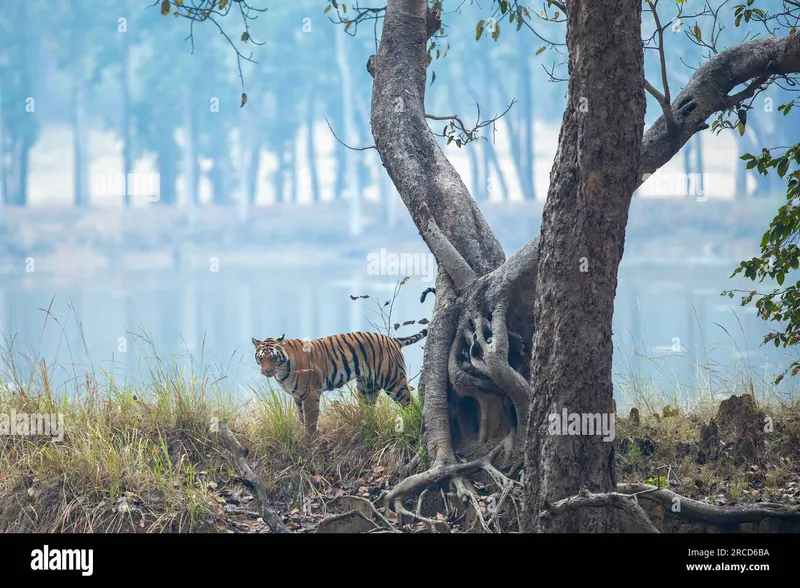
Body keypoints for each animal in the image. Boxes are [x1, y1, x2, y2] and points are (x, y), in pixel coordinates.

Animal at [252, 328, 428, 434]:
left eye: (273, 357)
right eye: (261, 358)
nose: (266, 371)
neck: (282, 371)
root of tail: (392, 339)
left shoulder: (310, 394)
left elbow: (310, 420)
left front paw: (310, 439)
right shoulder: (297, 397)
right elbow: (302, 418)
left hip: (393, 380)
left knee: (410, 403)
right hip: (366, 387)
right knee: (369, 409)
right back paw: (365, 426)